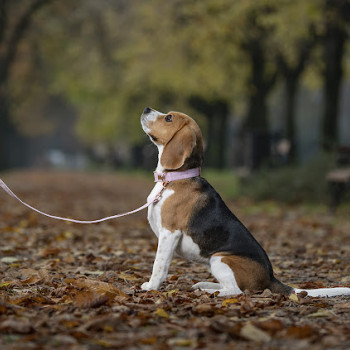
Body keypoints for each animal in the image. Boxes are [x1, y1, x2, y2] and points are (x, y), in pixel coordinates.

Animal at [141, 105, 350, 296]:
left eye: (169, 118)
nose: (146, 109)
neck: (174, 178)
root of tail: (270, 277)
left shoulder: (169, 232)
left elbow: (159, 265)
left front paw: (151, 287)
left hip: (220, 259)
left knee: (236, 291)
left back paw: (209, 291)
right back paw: (205, 284)